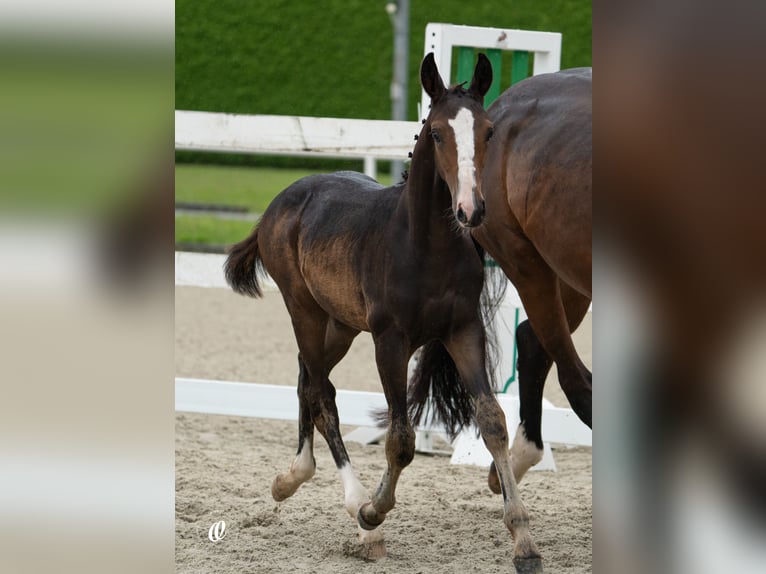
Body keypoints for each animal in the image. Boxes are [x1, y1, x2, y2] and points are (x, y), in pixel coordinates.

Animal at [228, 53, 544, 572]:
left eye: (488, 131)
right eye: (436, 133)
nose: (471, 210)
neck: (424, 248)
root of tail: (279, 203)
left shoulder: (464, 331)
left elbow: (493, 423)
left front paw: (524, 542)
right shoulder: (390, 342)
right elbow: (401, 438)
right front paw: (373, 512)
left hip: (339, 324)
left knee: (307, 379)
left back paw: (291, 477)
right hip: (303, 310)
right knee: (321, 393)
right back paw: (352, 505)